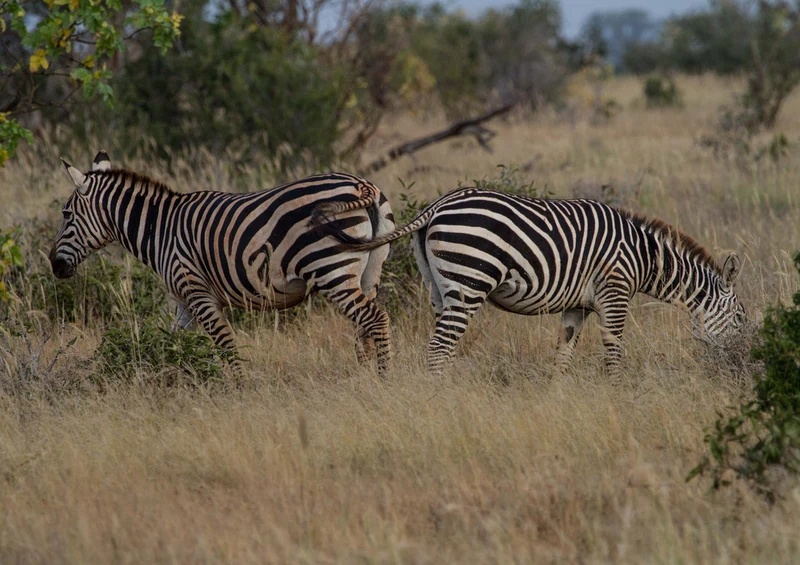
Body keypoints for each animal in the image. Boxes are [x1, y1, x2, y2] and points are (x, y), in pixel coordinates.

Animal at [50, 151, 396, 373]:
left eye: (66, 214)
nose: (54, 265)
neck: (160, 228)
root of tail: (362, 185)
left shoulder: (199, 293)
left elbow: (226, 344)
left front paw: (241, 391)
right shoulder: (184, 302)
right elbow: (169, 344)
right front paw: (160, 375)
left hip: (330, 269)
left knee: (376, 318)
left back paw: (385, 379)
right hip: (369, 270)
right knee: (365, 328)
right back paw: (366, 379)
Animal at [313, 187, 746, 375]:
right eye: (742, 319)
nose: (744, 360)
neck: (644, 257)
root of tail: (436, 205)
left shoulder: (578, 305)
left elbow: (563, 354)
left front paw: (558, 399)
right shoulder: (615, 293)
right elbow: (614, 352)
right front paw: (621, 395)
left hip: (440, 287)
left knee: (441, 344)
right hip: (469, 283)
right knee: (438, 349)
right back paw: (439, 403)